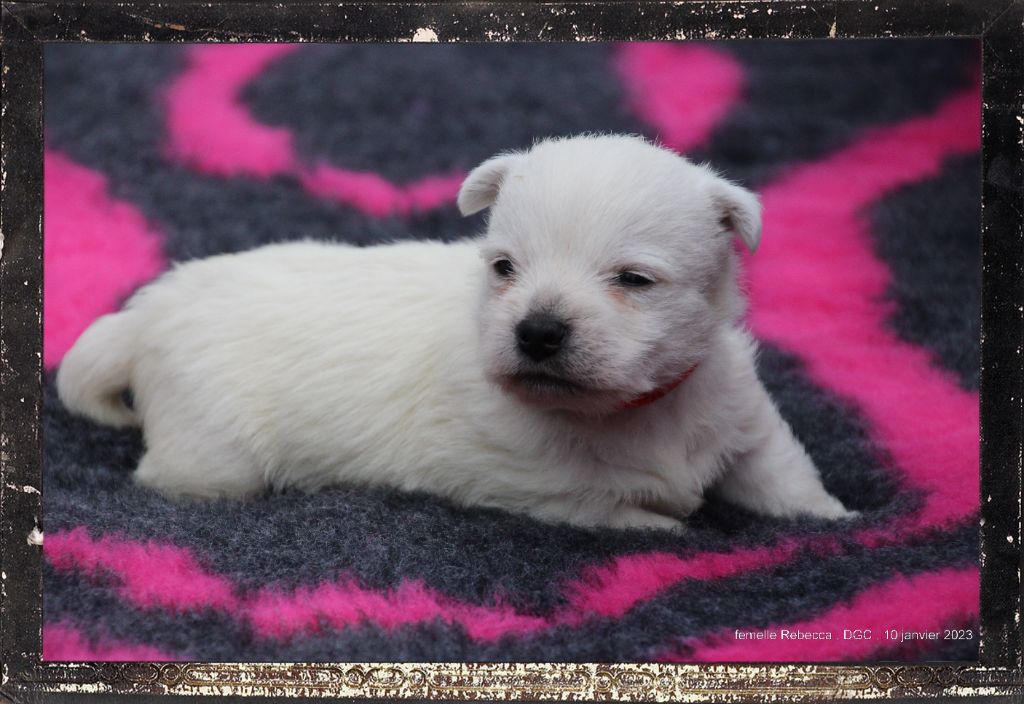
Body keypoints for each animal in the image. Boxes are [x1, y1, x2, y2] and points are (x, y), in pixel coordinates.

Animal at [58, 133, 856, 528]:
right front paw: (670, 524)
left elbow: (783, 473)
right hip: (213, 449)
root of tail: (146, 313)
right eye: (504, 266)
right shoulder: (519, 475)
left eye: (634, 279)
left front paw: (837, 518)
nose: (537, 332)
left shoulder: (739, 411)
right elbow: (611, 508)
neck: (628, 412)